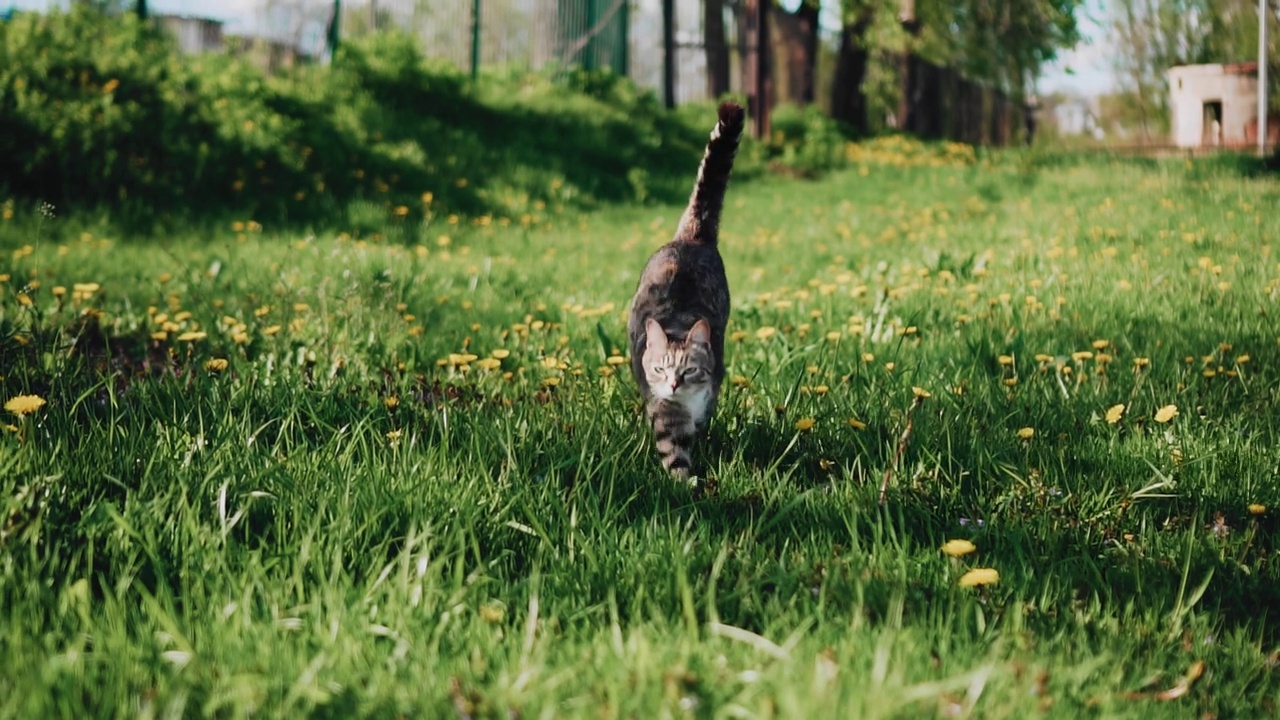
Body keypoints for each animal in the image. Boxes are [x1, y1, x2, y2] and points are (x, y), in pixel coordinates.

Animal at [624, 96, 747, 476]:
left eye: (689, 369)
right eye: (660, 368)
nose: (674, 383)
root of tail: (691, 237)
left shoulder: (709, 393)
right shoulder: (664, 409)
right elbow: (673, 447)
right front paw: (684, 481)